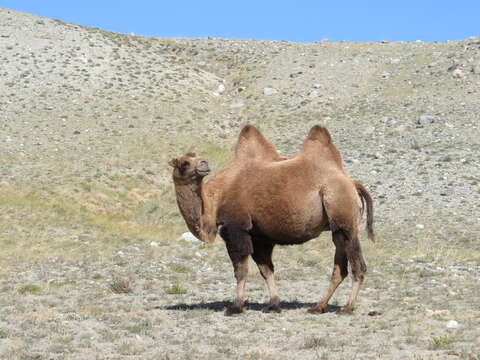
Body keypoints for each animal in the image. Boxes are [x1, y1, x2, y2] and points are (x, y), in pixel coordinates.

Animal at [169, 125, 376, 316]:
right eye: (185, 162)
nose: (204, 163)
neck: (216, 198)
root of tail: (352, 183)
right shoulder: (259, 236)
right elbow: (266, 270)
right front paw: (274, 305)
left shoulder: (235, 228)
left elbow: (240, 270)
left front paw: (236, 307)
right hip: (337, 228)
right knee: (340, 268)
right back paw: (318, 307)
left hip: (344, 217)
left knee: (359, 266)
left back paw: (347, 308)